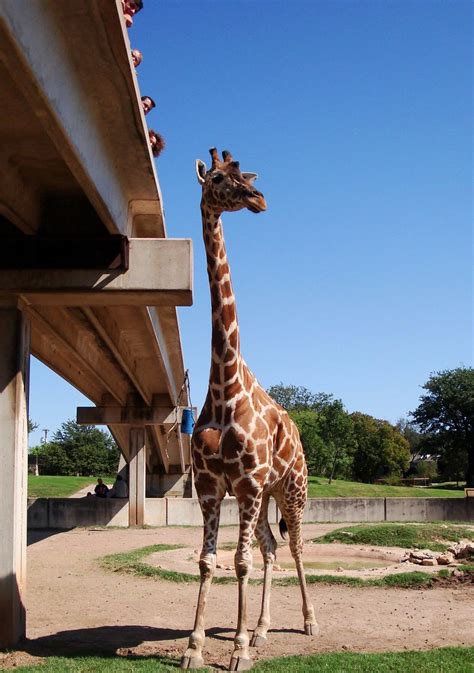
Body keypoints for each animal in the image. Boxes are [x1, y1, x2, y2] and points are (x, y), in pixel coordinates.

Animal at [181, 150, 318, 668]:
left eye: (245, 175)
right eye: (219, 178)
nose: (259, 199)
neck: (225, 388)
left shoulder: (247, 483)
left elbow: (238, 562)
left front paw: (235, 650)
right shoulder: (212, 485)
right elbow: (208, 561)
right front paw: (195, 647)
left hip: (291, 489)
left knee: (295, 545)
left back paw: (308, 622)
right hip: (265, 496)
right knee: (272, 547)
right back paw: (260, 629)